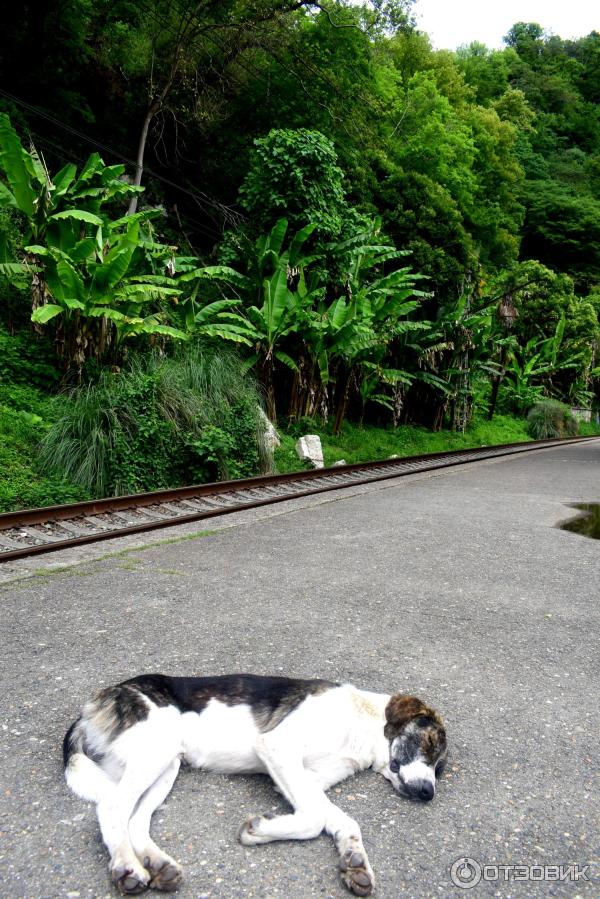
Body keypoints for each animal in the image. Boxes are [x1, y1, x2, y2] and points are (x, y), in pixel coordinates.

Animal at [65, 672, 448, 896]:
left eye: (440, 769)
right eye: (430, 746)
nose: (428, 793)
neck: (361, 720)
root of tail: (95, 701)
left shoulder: (305, 778)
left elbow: (340, 820)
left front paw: (355, 861)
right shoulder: (278, 747)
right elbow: (314, 819)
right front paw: (259, 829)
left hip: (167, 764)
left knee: (135, 819)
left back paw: (157, 864)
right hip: (153, 754)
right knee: (112, 807)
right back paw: (127, 867)